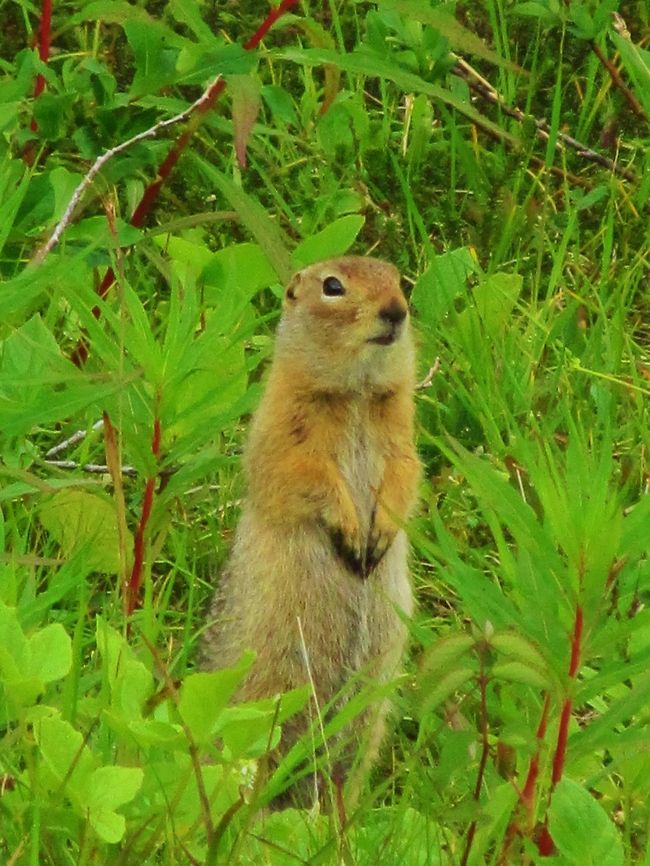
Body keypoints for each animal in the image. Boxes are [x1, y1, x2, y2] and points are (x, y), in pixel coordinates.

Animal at [201, 255, 420, 804]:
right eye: (333, 286)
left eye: (399, 279)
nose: (396, 310)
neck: (357, 394)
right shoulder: (283, 424)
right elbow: (300, 473)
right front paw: (351, 532)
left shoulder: (401, 433)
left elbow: (407, 472)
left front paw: (378, 534)